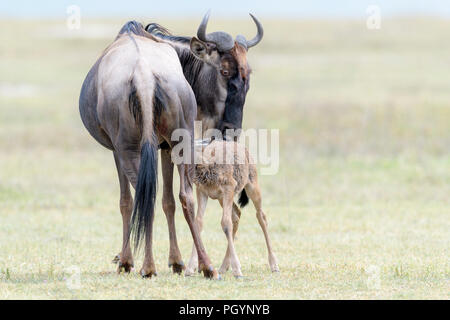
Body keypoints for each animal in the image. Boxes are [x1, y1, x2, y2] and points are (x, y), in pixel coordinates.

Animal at [185, 140, 278, 278]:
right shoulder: (202, 191)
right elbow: (198, 223)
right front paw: (190, 268)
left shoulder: (229, 187)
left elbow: (225, 223)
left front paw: (237, 270)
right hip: (221, 198)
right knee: (236, 215)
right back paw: (223, 267)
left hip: (252, 185)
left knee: (261, 216)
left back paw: (274, 265)